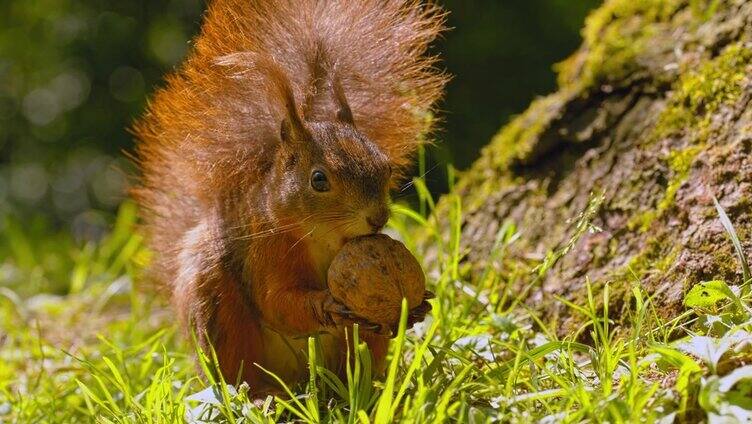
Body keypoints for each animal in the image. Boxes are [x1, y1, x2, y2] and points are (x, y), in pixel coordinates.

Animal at [131, 0, 446, 394]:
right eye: (319, 180)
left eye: (385, 166)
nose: (377, 218)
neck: (325, 237)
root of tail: (298, 383)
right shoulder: (266, 249)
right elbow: (276, 303)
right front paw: (327, 305)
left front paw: (418, 306)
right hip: (216, 304)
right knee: (236, 369)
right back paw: (258, 395)